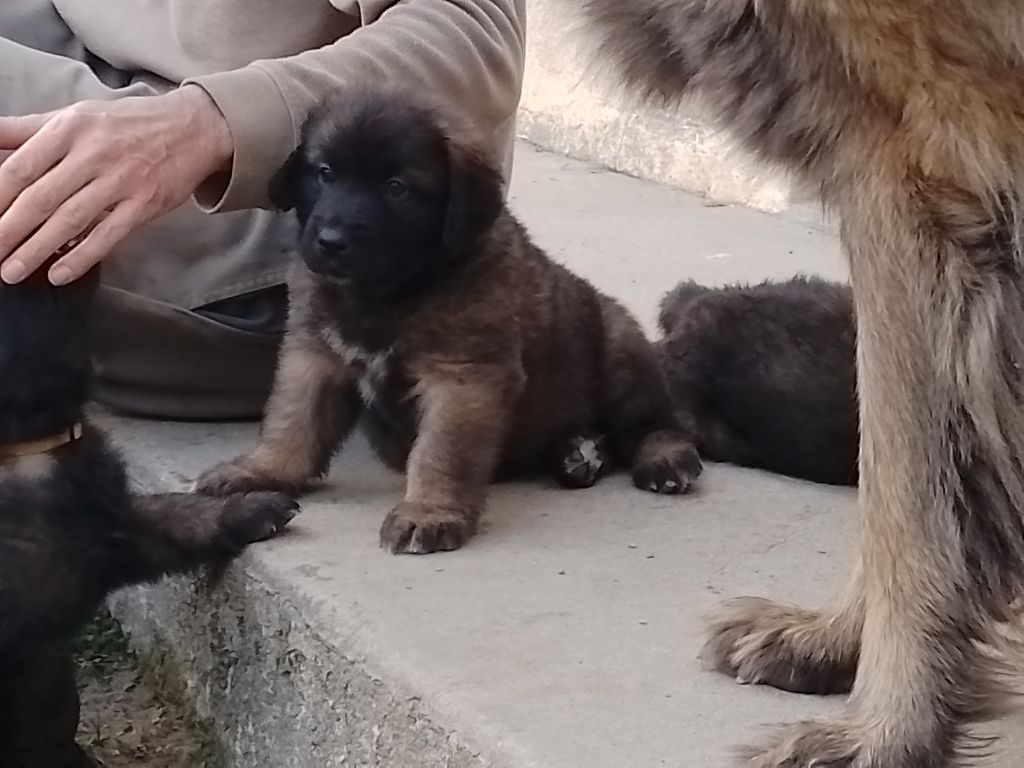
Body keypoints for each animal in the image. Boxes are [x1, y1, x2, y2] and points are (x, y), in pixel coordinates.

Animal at [194, 83, 700, 557]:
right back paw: (576, 453)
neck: (389, 292)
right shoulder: (315, 356)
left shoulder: (462, 378)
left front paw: (428, 513)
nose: (331, 240)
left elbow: (442, 451)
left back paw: (663, 460)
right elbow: (294, 421)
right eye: (324, 173)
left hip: (618, 349)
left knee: (654, 422)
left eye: (396, 187)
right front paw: (263, 471)